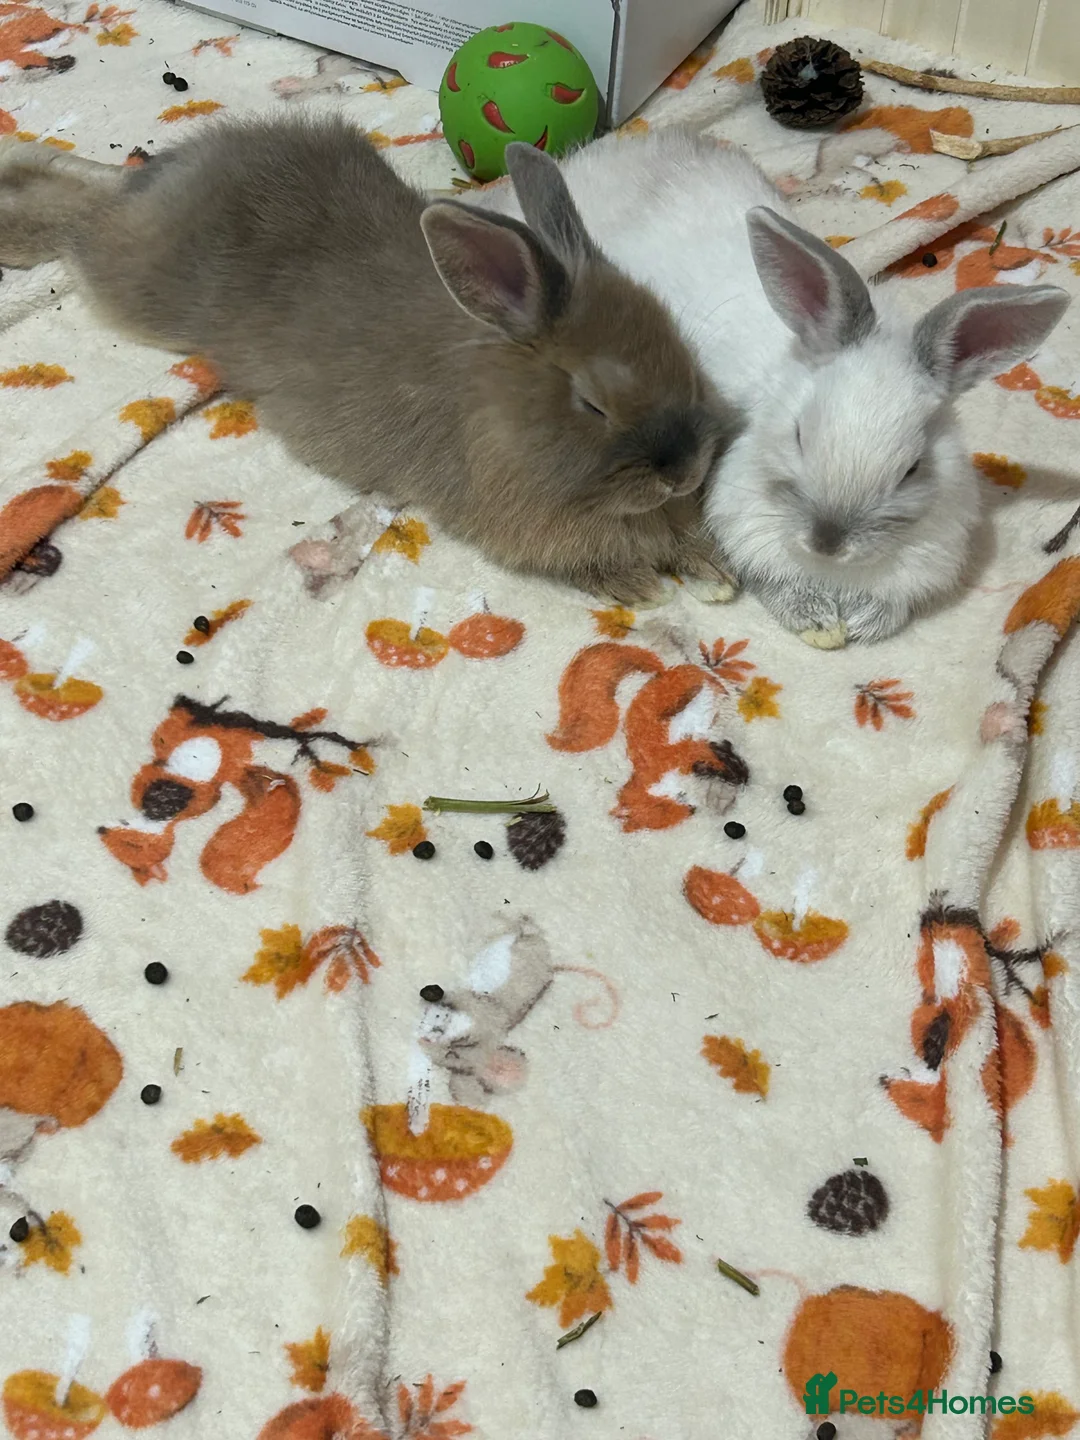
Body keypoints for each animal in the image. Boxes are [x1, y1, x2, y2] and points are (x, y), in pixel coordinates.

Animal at [0, 117, 740, 605]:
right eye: (592, 402)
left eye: (679, 348)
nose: (683, 473)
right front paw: (643, 586)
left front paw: (712, 573)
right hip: (142, 291)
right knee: (84, 228)